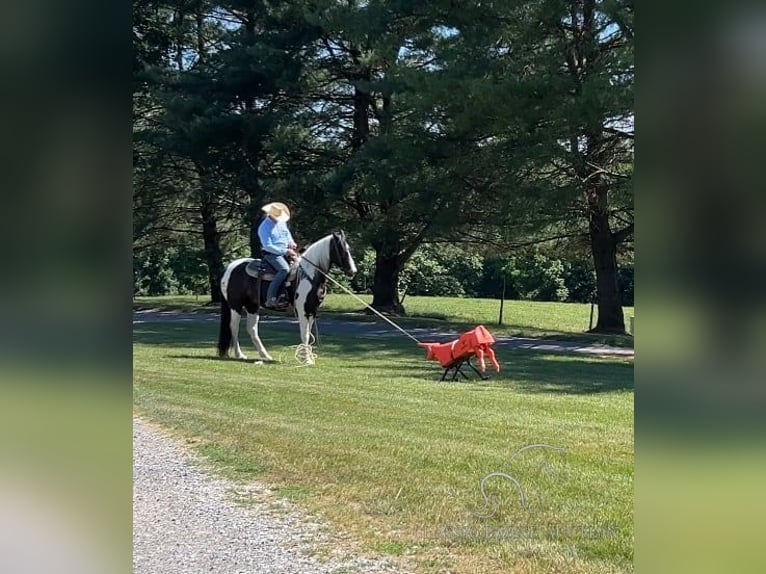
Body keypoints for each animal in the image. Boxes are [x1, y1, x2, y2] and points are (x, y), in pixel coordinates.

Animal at [218, 232, 358, 366]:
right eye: (342, 249)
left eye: (349, 249)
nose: (353, 271)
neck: (308, 276)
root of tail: (231, 267)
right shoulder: (303, 310)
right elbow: (305, 334)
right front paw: (307, 360)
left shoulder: (312, 310)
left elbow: (308, 333)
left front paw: (308, 358)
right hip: (235, 305)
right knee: (234, 327)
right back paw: (240, 354)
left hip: (252, 306)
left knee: (252, 329)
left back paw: (265, 356)